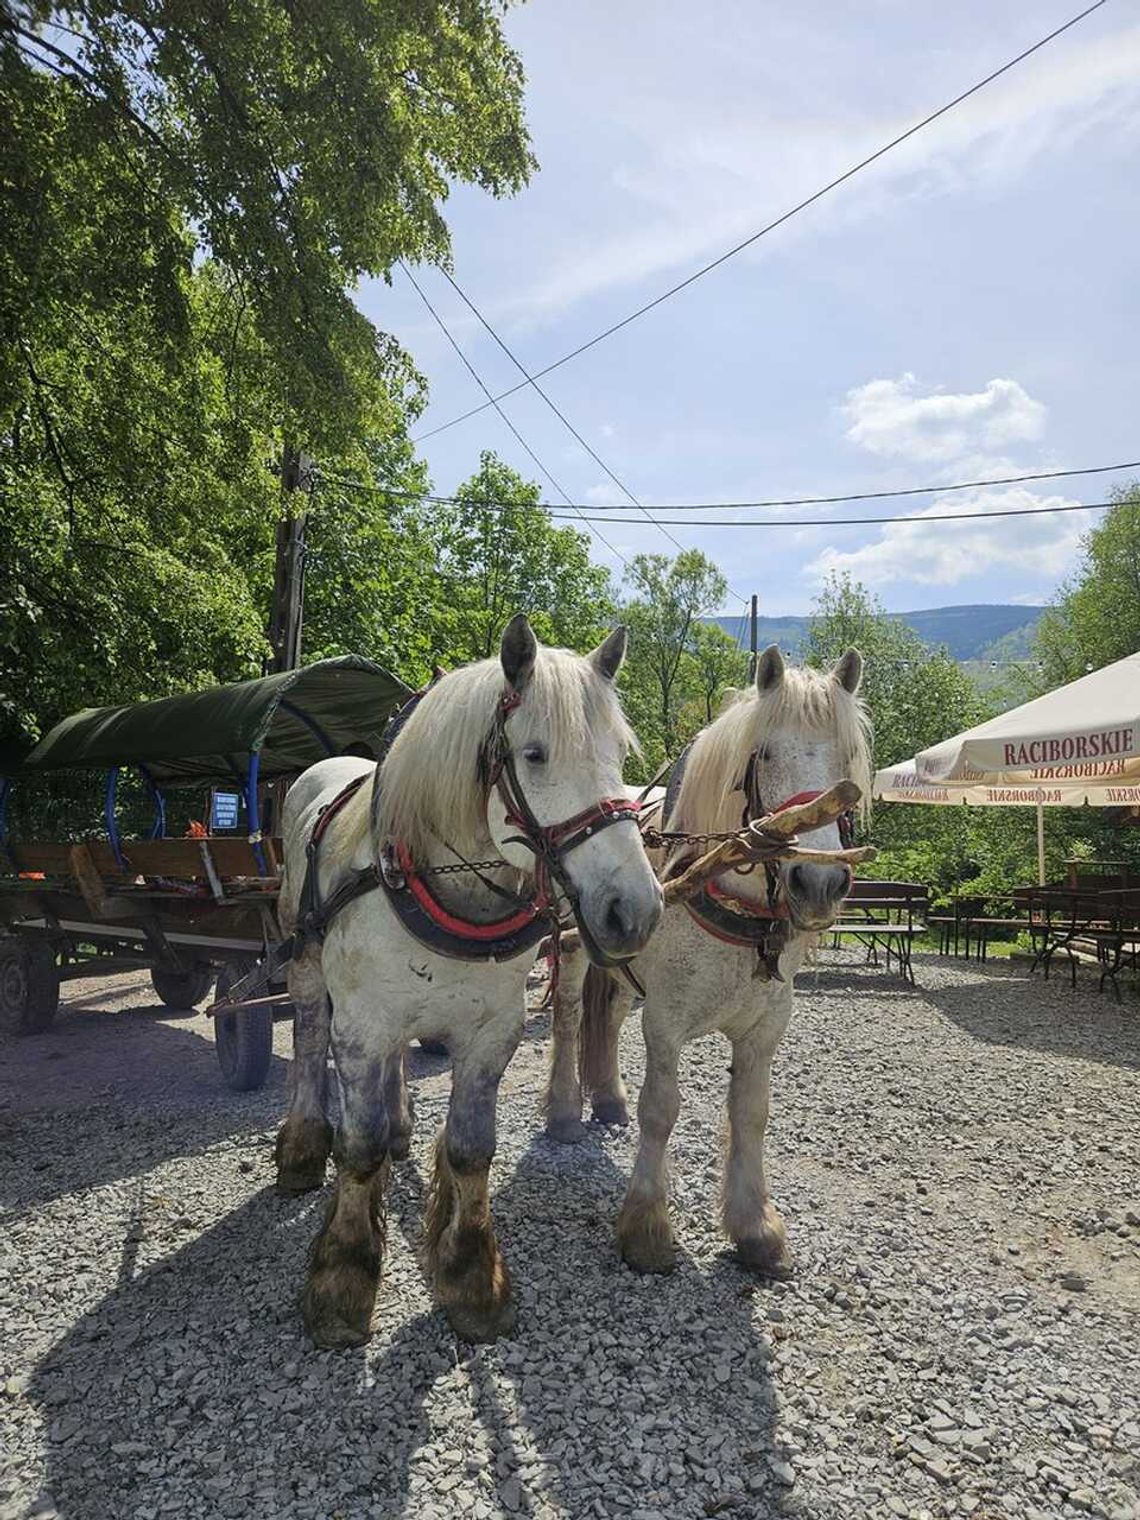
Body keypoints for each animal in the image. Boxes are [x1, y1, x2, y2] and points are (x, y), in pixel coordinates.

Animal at [276, 617, 665, 1343]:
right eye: (535, 754)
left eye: (618, 756)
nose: (636, 910)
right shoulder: (362, 1026)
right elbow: (360, 1148)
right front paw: (343, 1279)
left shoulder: (490, 1031)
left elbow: (471, 1149)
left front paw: (472, 1275)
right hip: (306, 963)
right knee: (311, 1041)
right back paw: (303, 1147)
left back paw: (400, 1127)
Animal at [541, 647, 869, 1276]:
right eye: (763, 754)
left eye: (848, 758)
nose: (819, 881)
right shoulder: (666, 1021)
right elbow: (662, 1109)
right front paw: (646, 1227)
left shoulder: (766, 1026)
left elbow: (751, 1112)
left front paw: (755, 1227)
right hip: (572, 945)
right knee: (569, 1016)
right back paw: (566, 1111)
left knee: (609, 1015)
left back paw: (608, 1098)